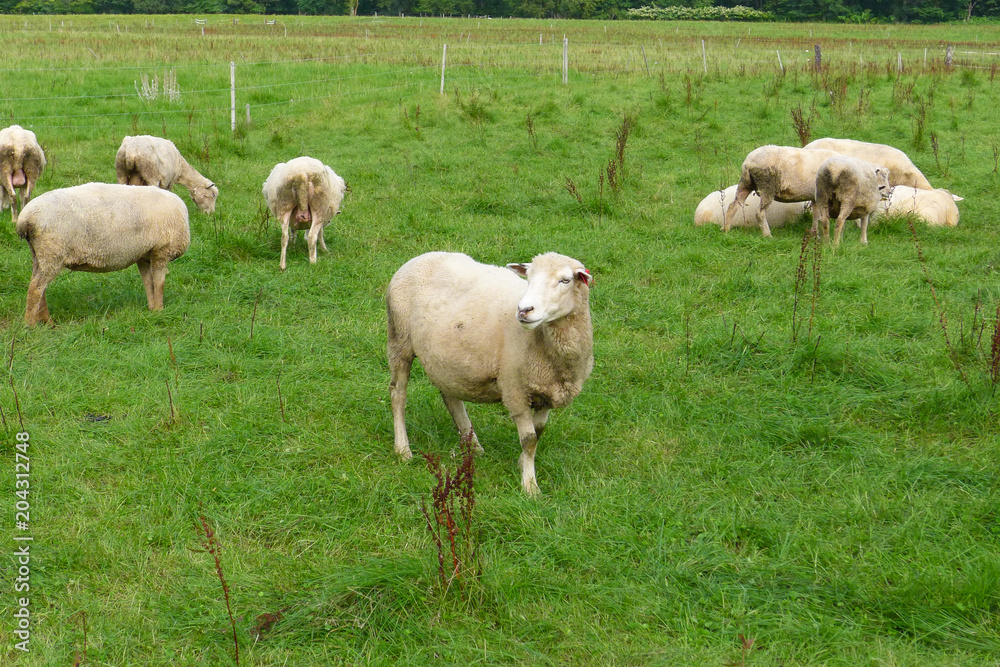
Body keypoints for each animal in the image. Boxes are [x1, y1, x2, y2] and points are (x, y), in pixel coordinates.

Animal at [15, 184, 189, 328]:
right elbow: (159, 283)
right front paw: (160, 311)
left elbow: (148, 283)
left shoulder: (144, 256)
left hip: (40, 254)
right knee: (36, 288)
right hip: (53, 252)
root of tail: (25, 218)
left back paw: (47, 321)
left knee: (39, 285)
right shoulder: (161, 251)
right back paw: (30, 325)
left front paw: (152, 310)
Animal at [386, 250, 592, 496]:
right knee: (398, 394)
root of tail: (421, 256)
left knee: (451, 398)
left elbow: (539, 431)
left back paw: (473, 445)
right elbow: (530, 439)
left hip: (446, 358)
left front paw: (522, 464)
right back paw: (403, 449)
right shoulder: (515, 390)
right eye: (529, 278)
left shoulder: (547, 392)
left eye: (565, 280)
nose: (524, 310)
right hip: (400, 340)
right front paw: (530, 485)